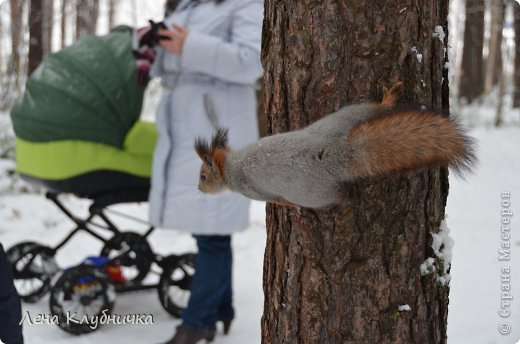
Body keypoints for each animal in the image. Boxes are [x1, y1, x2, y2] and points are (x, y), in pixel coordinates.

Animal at [194, 82, 476, 208]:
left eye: (203, 176)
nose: (198, 190)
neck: (230, 165)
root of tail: (336, 154)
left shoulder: (251, 191)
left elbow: (276, 201)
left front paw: (288, 207)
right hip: (340, 119)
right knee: (369, 110)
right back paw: (389, 99)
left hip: (315, 195)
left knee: (334, 197)